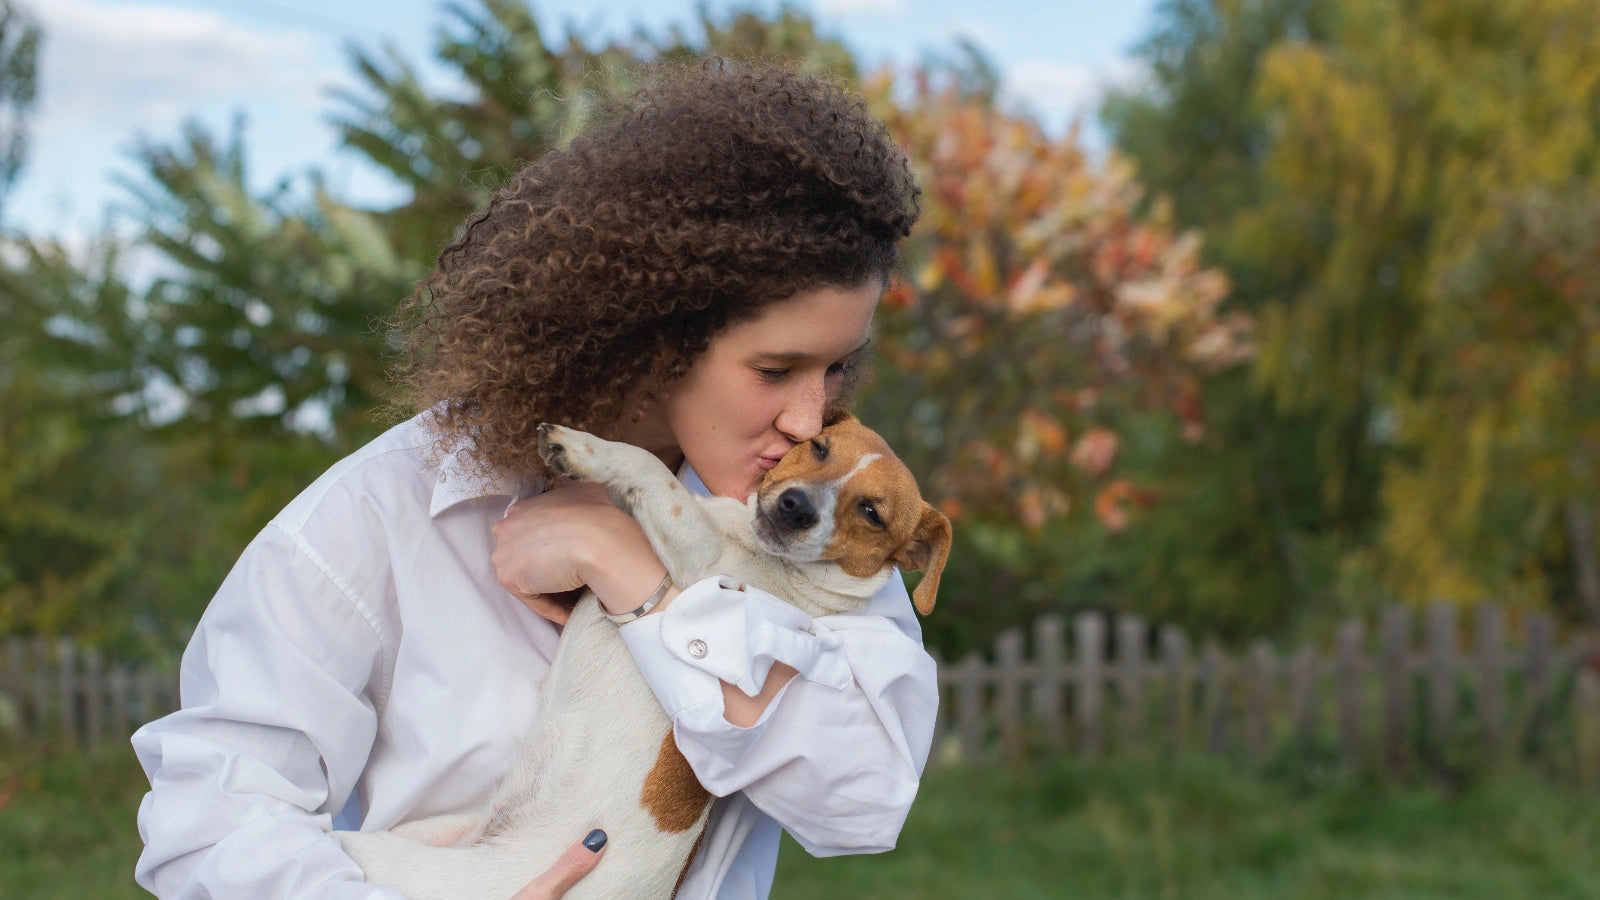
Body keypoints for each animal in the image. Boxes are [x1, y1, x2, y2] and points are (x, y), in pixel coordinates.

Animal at [329, 416, 940, 896]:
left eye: (872, 512)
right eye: (817, 447)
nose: (795, 507)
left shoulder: (697, 562)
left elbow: (650, 469)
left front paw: (583, 447)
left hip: (392, 860)